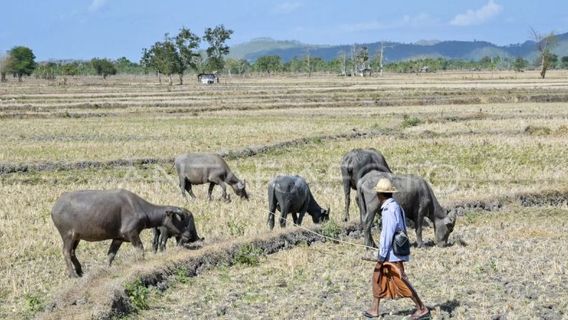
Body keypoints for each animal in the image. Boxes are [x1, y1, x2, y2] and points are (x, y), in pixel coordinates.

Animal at [51, 188, 201, 278]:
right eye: (183, 220)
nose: (189, 236)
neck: (141, 209)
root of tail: (54, 207)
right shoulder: (132, 234)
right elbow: (140, 249)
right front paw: (141, 262)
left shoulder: (118, 238)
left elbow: (111, 255)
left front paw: (107, 268)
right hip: (68, 235)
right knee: (66, 252)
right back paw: (73, 275)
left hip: (77, 237)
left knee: (72, 252)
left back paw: (80, 271)